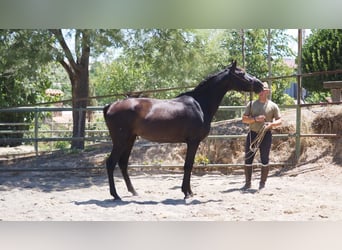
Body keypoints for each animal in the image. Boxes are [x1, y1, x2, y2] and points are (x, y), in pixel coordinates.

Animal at [103, 61, 264, 200]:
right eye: (242, 73)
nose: (260, 84)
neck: (200, 104)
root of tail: (110, 106)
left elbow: (189, 166)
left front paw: (189, 192)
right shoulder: (193, 142)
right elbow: (188, 166)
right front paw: (186, 193)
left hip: (129, 139)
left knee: (123, 163)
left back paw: (133, 191)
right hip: (120, 140)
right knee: (111, 163)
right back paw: (115, 195)